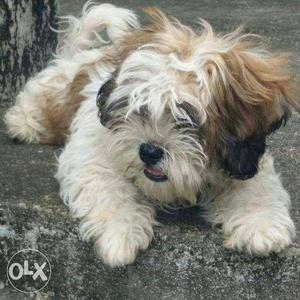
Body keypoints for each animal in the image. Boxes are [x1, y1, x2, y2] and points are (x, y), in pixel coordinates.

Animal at [4, 1, 298, 264]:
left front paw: (261, 225)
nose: (149, 150)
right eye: (139, 108)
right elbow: (106, 181)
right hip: (50, 96)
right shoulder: (91, 147)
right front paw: (119, 232)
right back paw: (22, 123)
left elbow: (255, 185)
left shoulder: (243, 156)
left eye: (186, 119)